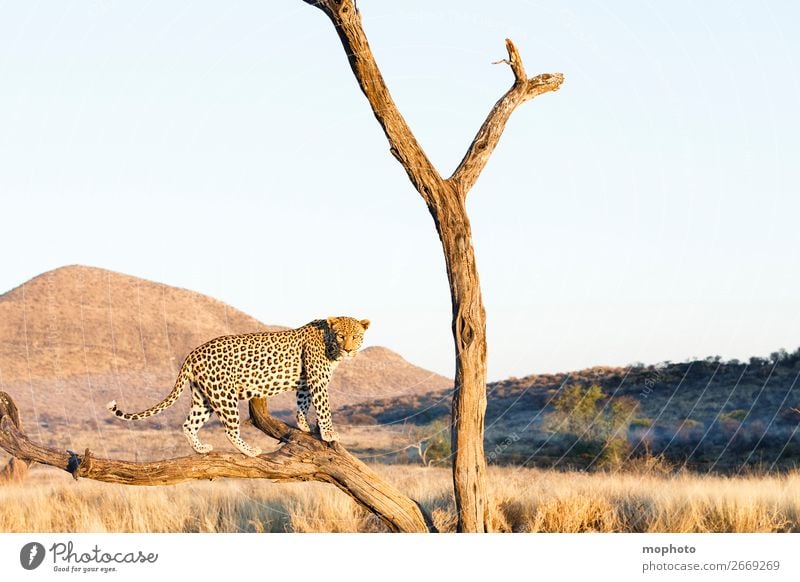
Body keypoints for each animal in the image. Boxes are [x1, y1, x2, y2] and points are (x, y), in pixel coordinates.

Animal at [104, 318, 370, 458]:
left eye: (355, 336)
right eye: (340, 336)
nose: (348, 349)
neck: (328, 344)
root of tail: (192, 353)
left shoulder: (306, 382)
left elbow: (302, 404)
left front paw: (304, 426)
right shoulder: (318, 380)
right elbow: (323, 408)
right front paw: (329, 433)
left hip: (203, 397)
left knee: (188, 424)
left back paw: (201, 449)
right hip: (224, 396)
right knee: (230, 430)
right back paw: (250, 451)